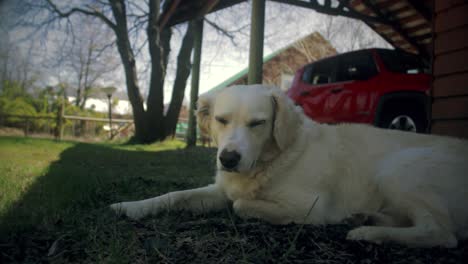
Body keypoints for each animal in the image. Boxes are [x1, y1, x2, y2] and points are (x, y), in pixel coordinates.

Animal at [111, 84, 468, 248]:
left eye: (257, 123)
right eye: (221, 120)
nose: (228, 159)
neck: (271, 161)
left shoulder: (310, 206)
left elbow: (241, 205)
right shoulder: (219, 189)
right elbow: (174, 195)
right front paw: (131, 206)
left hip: (400, 167)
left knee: (441, 233)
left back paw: (369, 232)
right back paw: (367, 218)